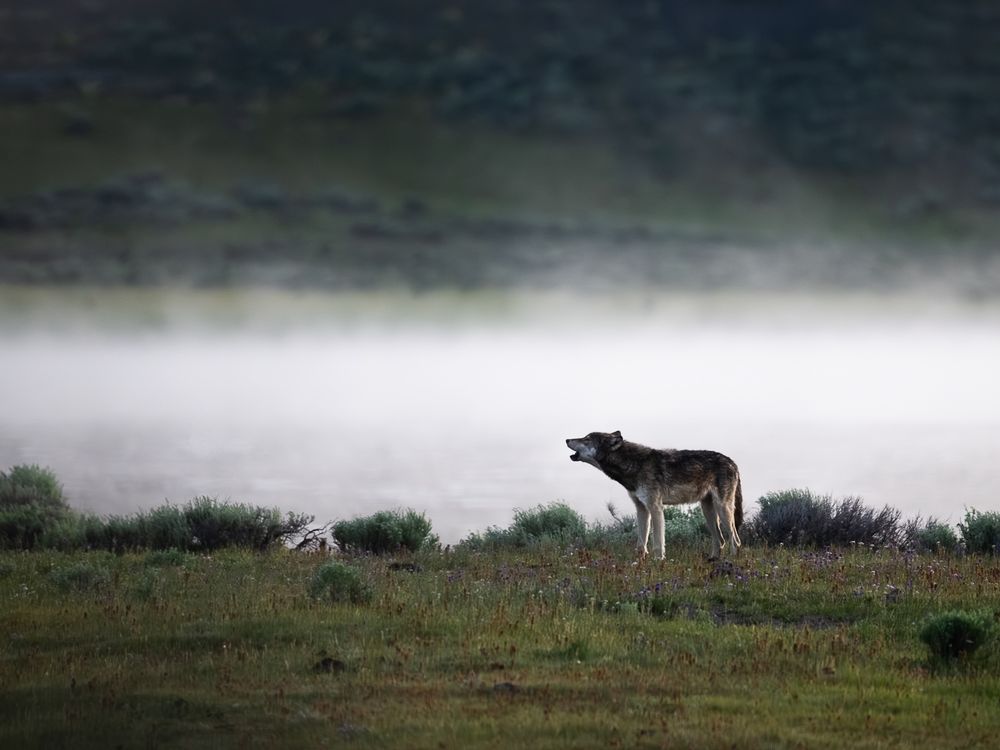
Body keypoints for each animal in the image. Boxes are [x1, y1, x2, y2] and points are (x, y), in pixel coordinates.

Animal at [566, 431, 742, 560]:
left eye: (587, 439)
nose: (567, 439)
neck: (634, 464)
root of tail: (732, 462)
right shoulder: (642, 509)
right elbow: (640, 543)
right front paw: (639, 563)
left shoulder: (655, 507)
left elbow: (657, 542)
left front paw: (659, 563)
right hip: (708, 511)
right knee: (720, 540)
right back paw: (713, 561)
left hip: (723, 509)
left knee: (735, 540)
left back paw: (730, 563)